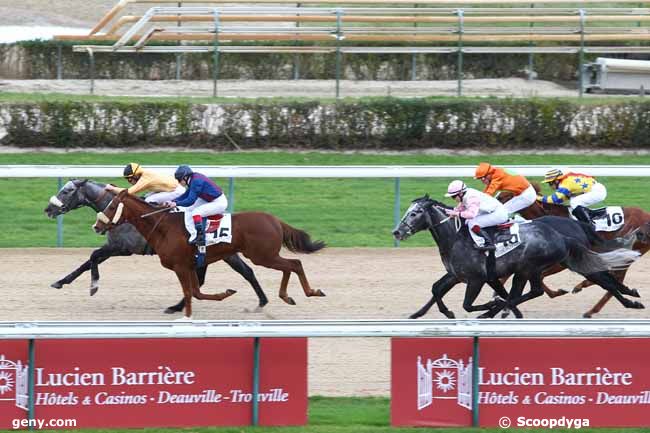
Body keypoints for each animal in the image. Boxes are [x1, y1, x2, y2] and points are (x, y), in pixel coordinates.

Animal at [43, 177, 266, 312]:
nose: (48, 210)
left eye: (67, 191)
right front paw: (61, 281)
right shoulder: (115, 247)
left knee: (245, 272)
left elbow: (92, 257)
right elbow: (87, 262)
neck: (123, 214)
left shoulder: (122, 248)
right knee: (211, 278)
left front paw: (93, 286)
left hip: (224, 254)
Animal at [92, 189, 324, 318]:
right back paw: (285, 297)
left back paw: (308, 292)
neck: (164, 227)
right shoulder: (190, 265)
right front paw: (226, 293)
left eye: (111, 206)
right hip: (261, 256)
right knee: (288, 266)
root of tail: (275, 220)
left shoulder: (181, 267)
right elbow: (196, 292)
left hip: (263, 256)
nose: (96, 226)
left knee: (294, 264)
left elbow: (190, 293)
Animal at [390, 196, 644, 318]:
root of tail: (569, 231)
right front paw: (426, 313)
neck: (456, 238)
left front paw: (491, 306)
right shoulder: (458, 275)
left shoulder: (476, 279)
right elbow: (436, 289)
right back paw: (630, 299)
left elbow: (469, 304)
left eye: (414, 213)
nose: (397, 232)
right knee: (602, 279)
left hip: (535, 267)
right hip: (548, 265)